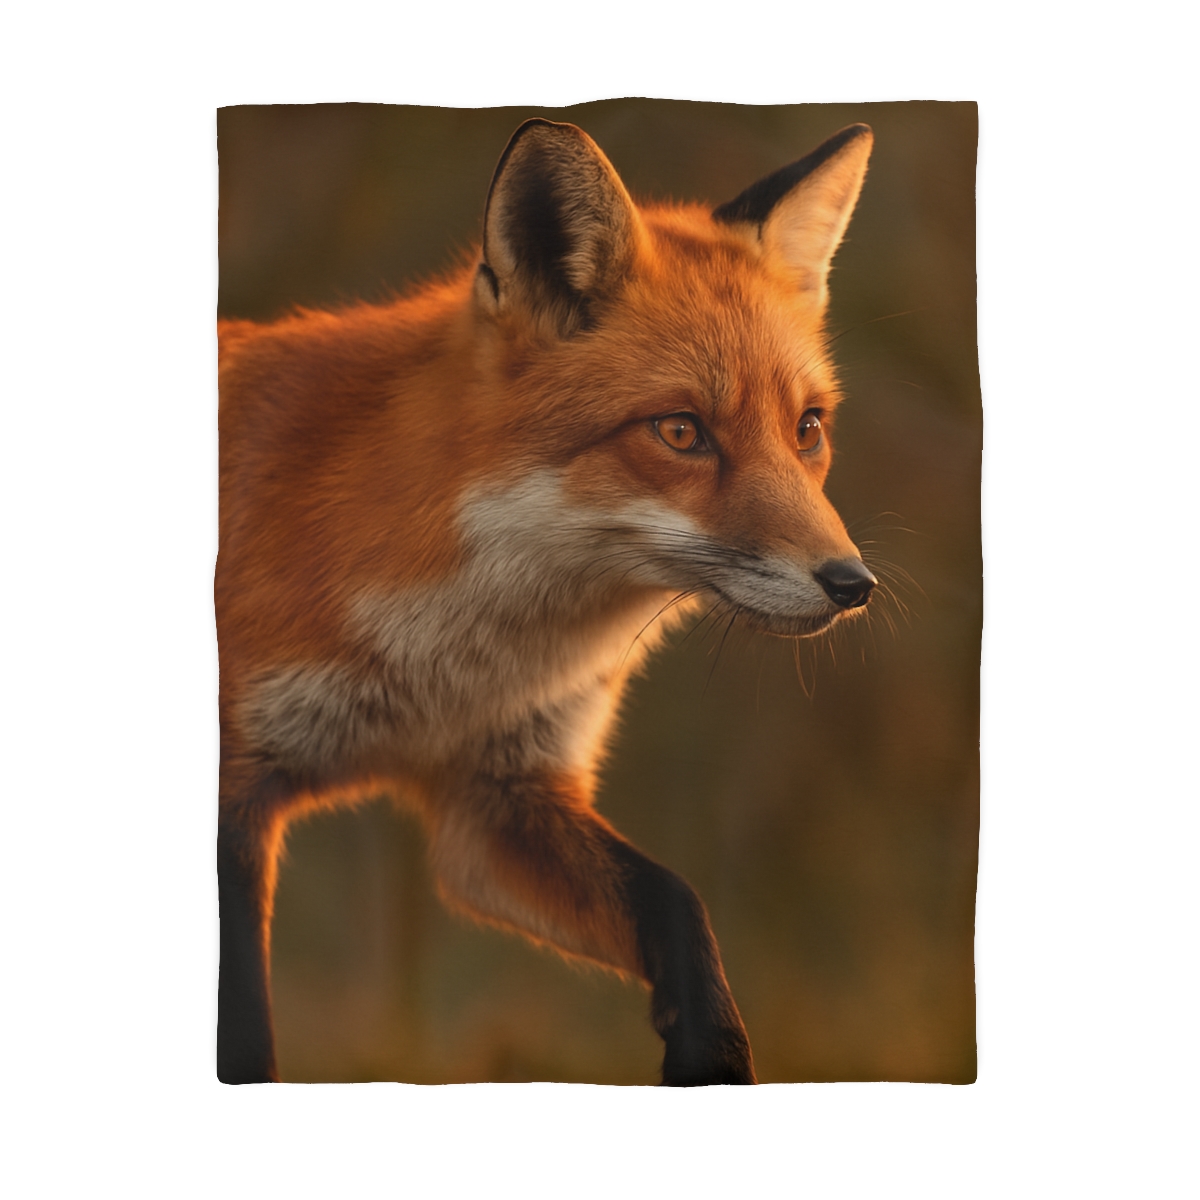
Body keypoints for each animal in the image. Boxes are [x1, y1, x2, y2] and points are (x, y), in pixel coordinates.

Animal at [216, 117, 878, 1086]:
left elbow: (676, 901)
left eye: (808, 429)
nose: (852, 584)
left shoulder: (496, 801)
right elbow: (243, 1034)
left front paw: (710, 1053)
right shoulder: (235, 797)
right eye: (681, 431)